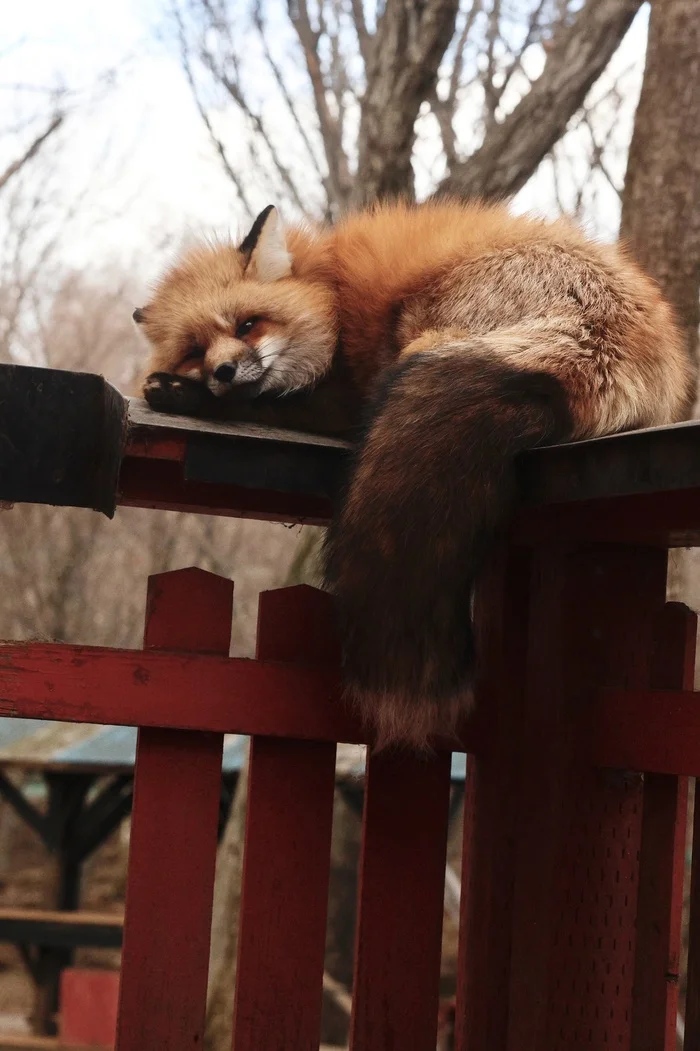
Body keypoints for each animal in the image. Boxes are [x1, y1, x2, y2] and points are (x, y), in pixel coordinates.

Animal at [133, 200, 689, 748]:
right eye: (195, 351)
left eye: (247, 325)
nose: (223, 373)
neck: (331, 293)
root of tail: (598, 345)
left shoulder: (343, 396)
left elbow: (268, 402)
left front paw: (181, 393)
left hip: (417, 334)